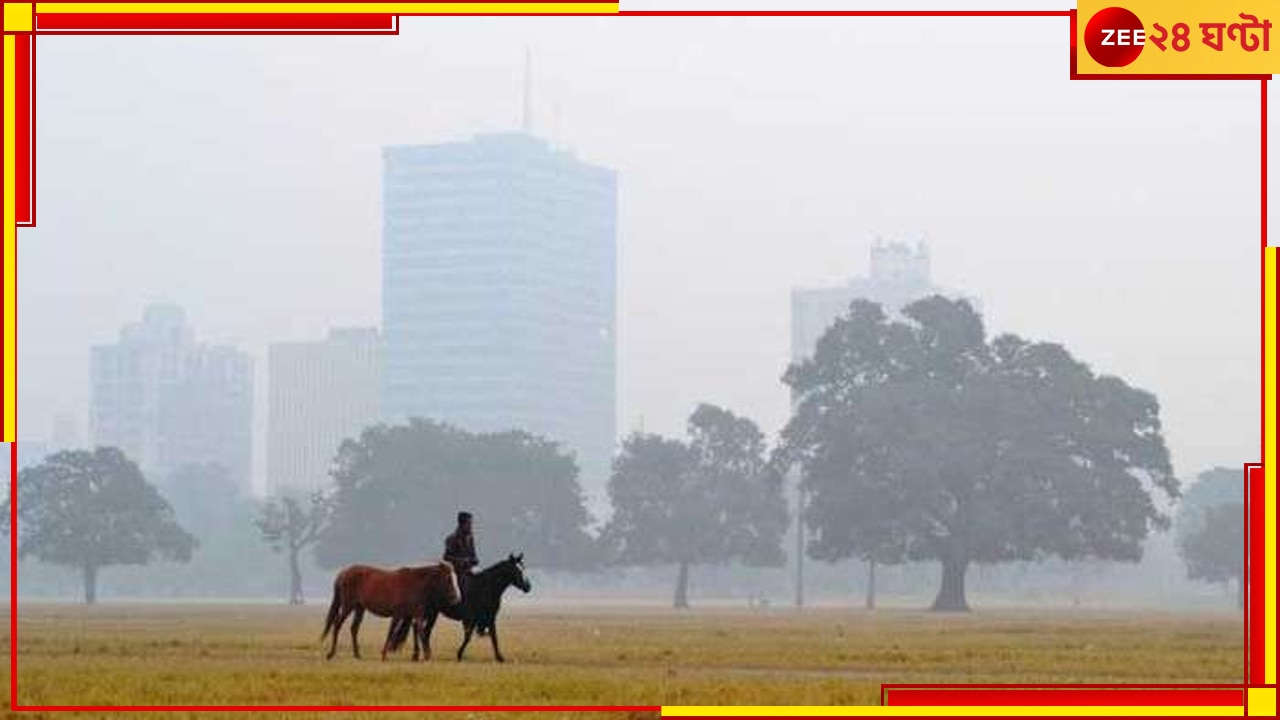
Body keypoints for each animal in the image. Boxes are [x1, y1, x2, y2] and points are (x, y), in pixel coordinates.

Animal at [320, 561, 460, 655]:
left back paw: (357, 655)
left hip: (360, 608)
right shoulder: (399, 614)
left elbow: (419, 632)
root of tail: (343, 573)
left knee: (354, 628)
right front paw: (385, 653)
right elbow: (394, 631)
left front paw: (425, 654)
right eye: (448, 578)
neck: (415, 583)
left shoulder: (415, 614)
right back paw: (331, 653)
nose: (456, 598)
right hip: (348, 606)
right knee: (337, 624)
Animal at [386, 548, 532, 661]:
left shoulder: (490, 618)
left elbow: (494, 636)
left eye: (524, 567)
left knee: (425, 631)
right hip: (426, 612)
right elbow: (468, 636)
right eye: (517, 570)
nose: (528, 587)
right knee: (417, 628)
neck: (485, 587)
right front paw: (459, 654)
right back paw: (416, 655)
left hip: (433, 613)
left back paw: (427, 653)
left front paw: (499, 657)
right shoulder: (470, 618)